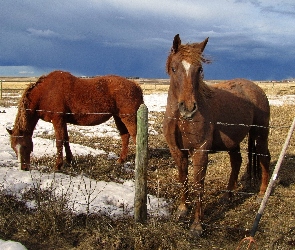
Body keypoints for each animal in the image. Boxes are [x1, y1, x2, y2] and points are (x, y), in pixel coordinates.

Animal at [7, 71, 144, 171]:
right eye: (13, 147)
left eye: (25, 146)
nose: (23, 168)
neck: (46, 92)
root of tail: (136, 86)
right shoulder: (63, 121)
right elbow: (66, 140)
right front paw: (69, 159)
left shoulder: (57, 120)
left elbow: (59, 141)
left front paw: (58, 165)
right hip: (118, 117)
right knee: (125, 136)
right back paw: (121, 160)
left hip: (128, 118)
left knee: (135, 137)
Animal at [163, 34, 272, 236]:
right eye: (174, 68)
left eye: (199, 69)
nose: (188, 109)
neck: (180, 119)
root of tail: (256, 88)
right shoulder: (177, 151)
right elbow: (183, 178)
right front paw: (182, 209)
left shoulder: (200, 151)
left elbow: (199, 185)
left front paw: (197, 225)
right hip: (233, 142)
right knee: (237, 162)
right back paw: (228, 195)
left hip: (260, 134)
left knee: (264, 158)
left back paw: (262, 193)